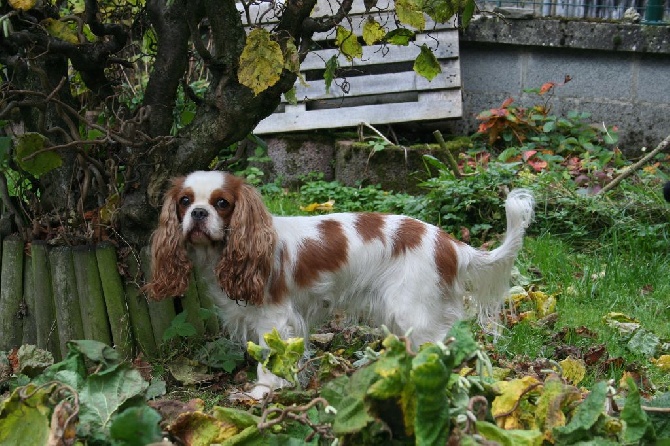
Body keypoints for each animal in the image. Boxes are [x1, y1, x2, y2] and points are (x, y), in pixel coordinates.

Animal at [144, 170, 540, 398]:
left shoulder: (276, 318)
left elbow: (270, 359)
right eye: (184, 201)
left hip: (412, 310)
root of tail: (450, 243)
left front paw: (264, 391)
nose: (198, 213)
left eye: (222, 203)